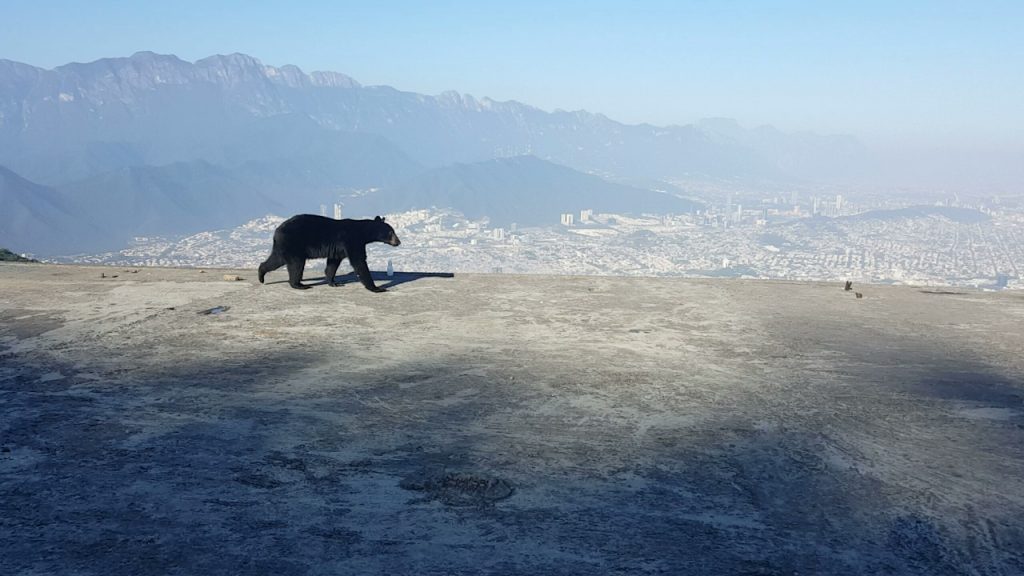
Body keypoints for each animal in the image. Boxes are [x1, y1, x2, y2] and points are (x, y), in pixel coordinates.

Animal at [256, 213, 399, 289]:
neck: (363, 232)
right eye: (391, 232)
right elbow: (359, 261)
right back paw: (299, 284)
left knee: (276, 259)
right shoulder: (352, 240)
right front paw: (376, 288)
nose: (398, 242)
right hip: (293, 243)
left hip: (283, 245)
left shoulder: (338, 249)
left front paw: (334, 282)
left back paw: (261, 274)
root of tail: (277, 230)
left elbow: (333, 263)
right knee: (296, 264)